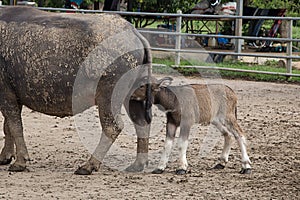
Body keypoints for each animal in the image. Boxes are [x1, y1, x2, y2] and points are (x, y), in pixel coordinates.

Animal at [0, 7, 152, 174]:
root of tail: (133, 33)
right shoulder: (13, 96)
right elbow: (8, 126)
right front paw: (5, 157)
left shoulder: (6, 93)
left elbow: (15, 126)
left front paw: (19, 162)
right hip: (132, 97)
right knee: (141, 122)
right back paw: (138, 164)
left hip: (109, 96)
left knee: (112, 126)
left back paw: (89, 165)